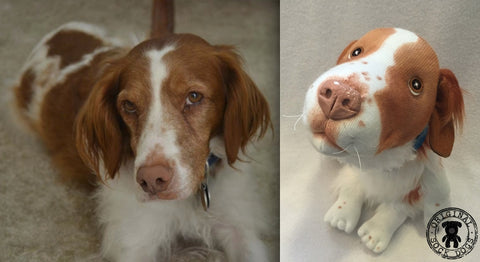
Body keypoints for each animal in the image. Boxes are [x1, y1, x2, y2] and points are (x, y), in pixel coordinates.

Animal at [13, 22, 272, 260]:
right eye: (129, 105)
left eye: (194, 96)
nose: (152, 180)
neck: (191, 199)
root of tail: (58, 33)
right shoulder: (135, 243)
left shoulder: (239, 226)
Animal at [304, 27, 464, 253]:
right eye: (356, 52)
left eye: (416, 85)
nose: (337, 96)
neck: (379, 163)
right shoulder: (354, 170)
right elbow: (351, 183)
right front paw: (342, 212)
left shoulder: (429, 172)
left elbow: (428, 196)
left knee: (398, 207)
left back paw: (374, 232)